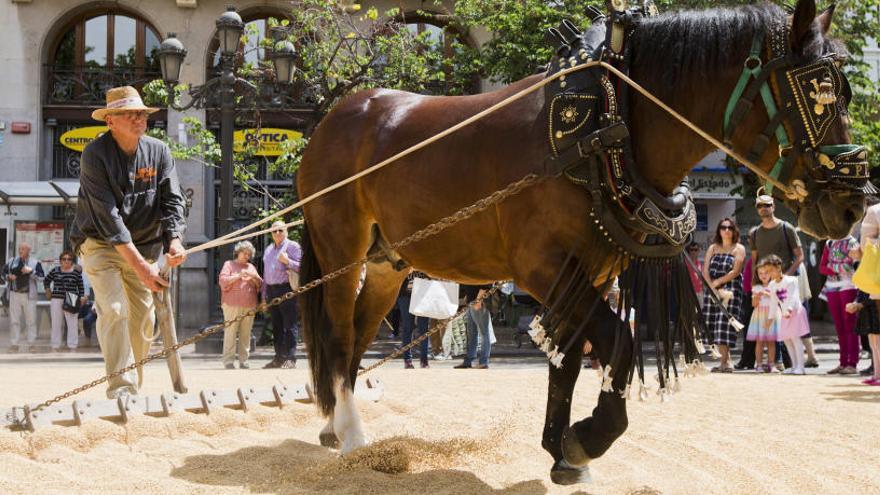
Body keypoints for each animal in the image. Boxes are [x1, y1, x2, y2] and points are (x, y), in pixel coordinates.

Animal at [298, 0, 868, 486]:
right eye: (817, 94)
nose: (854, 206)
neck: (605, 123)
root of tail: (335, 118)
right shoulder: (542, 267)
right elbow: (618, 343)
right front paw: (588, 438)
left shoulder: (586, 272)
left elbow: (569, 360)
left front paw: (560, 450)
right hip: (341, 249)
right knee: (339, 335)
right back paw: (351, 435)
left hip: (387, 263)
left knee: (358, 333)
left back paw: (336, 427)